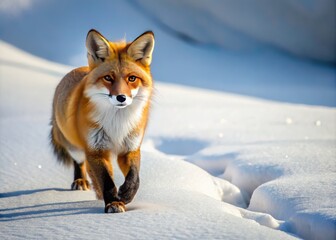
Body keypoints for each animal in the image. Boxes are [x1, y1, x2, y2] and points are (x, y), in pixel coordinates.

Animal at [50, 29, 155, 213]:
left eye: (132, 78)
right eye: (108, 78)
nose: (121, 97)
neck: (117, 124)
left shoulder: (130, 148)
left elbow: (134, 178)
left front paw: (126, 195)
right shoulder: (95, 149)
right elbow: (107, 181)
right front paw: (113, 203)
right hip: (75, 147)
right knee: (81, 164)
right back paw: (81, 181)